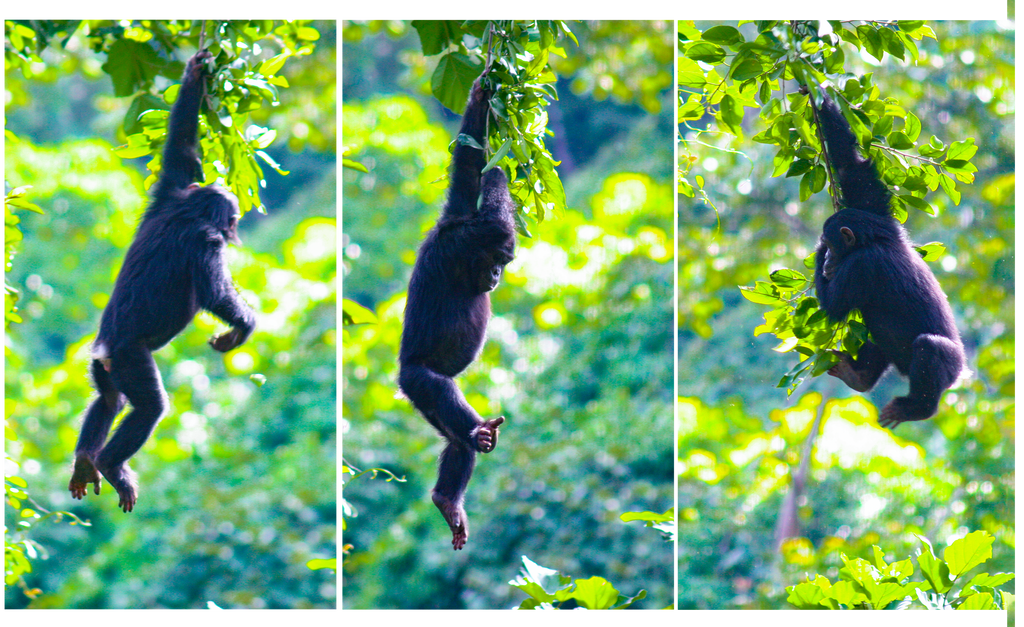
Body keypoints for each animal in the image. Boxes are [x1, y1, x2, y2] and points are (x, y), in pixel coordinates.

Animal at [68, 47, 256, 510]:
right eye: (231, 219)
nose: (237, 226)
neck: (188, 211)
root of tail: (105, 347)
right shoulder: (205, 242)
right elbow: (215, 292)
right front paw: (240, 327)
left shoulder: (171, 186)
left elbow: (182, 144)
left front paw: (196, 71)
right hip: (130, 359)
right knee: (148, 408)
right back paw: (111, 466)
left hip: (101, 365)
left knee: (107, 399)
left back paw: (85, 462)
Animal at [397, 75, 516, 549]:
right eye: (499, 258)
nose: (498, 274)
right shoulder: (470, 235)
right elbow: (495, 218)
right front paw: (501, 169)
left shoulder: (458, 213)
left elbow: (466, 166)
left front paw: (482, 95)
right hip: (418, 381)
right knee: (445, 393)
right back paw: (479, 432)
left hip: (424, 406)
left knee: (456, 444)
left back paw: (447, 499)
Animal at [811, 89, 962, 430]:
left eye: (832, 248)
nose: (826, 263)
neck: (874, 240)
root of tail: (963, 374)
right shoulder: (876, 212)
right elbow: (851, 167)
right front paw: (820, 96)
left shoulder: (861, 265)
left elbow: (833, 305)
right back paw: (860, 376)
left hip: (949, 368)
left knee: (929, 347)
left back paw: (916, 409)